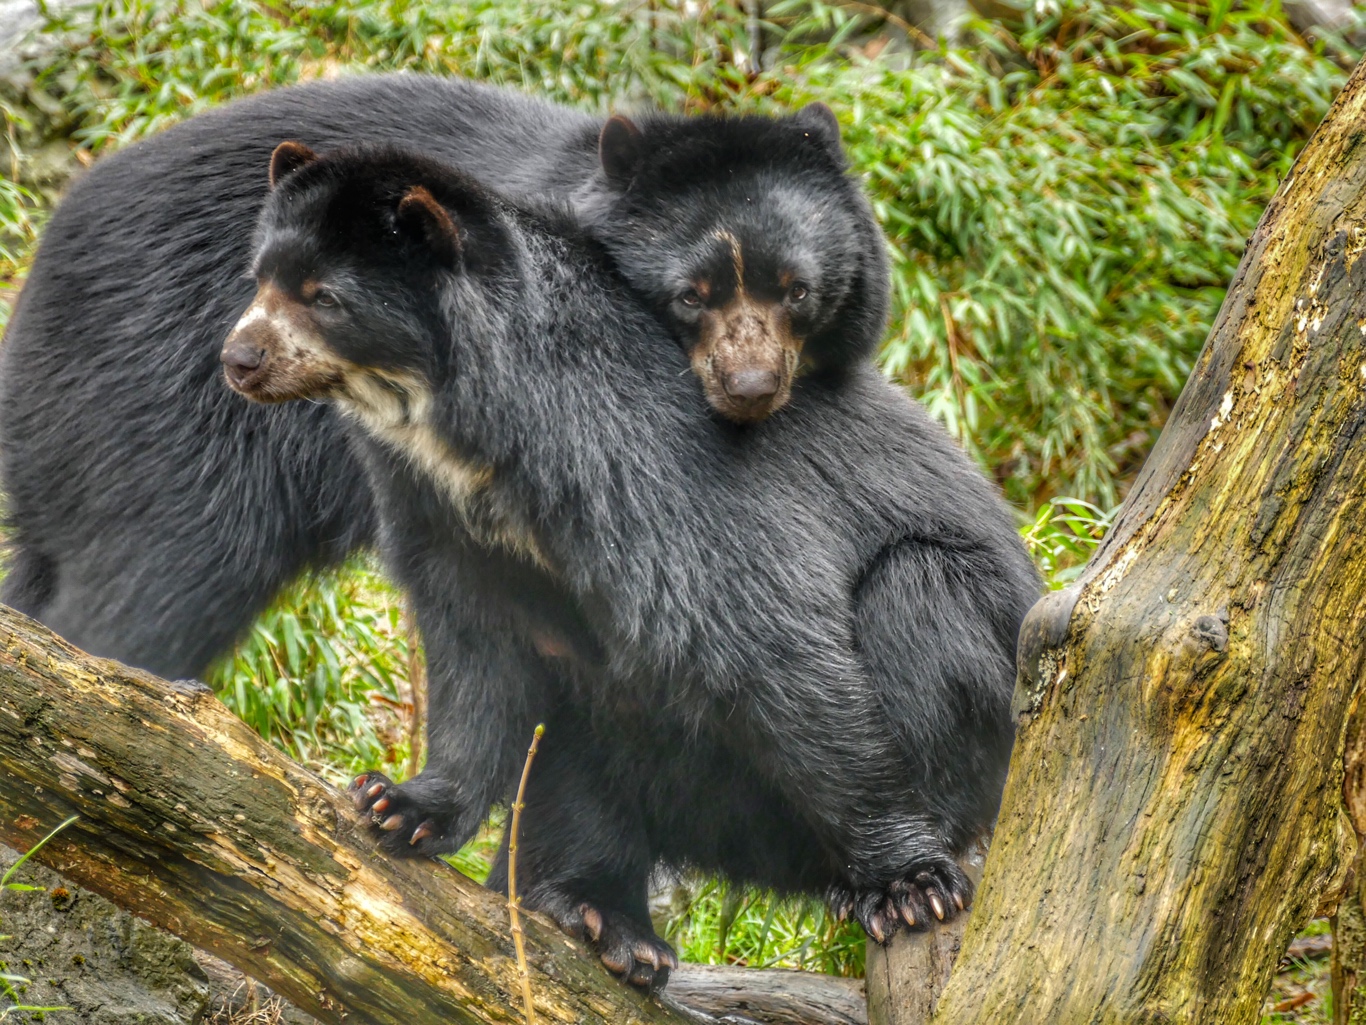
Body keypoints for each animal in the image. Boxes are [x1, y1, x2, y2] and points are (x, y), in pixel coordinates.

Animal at [0, 74, 885, 683]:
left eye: (796, 289)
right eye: (691, 294)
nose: (751, 387)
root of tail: (38, 270)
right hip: (157, 401)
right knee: (152, 574)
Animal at [221, 140, 1032, 989]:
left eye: (323, 297)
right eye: (260, 276)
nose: (238, 359)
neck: (465, 434)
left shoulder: (643, 462)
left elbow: (769, 639)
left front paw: (909, 880)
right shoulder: (437, 512)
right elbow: (476, 656)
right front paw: (398, 805)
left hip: (977, 677)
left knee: (917, 598)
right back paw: (601, 917)